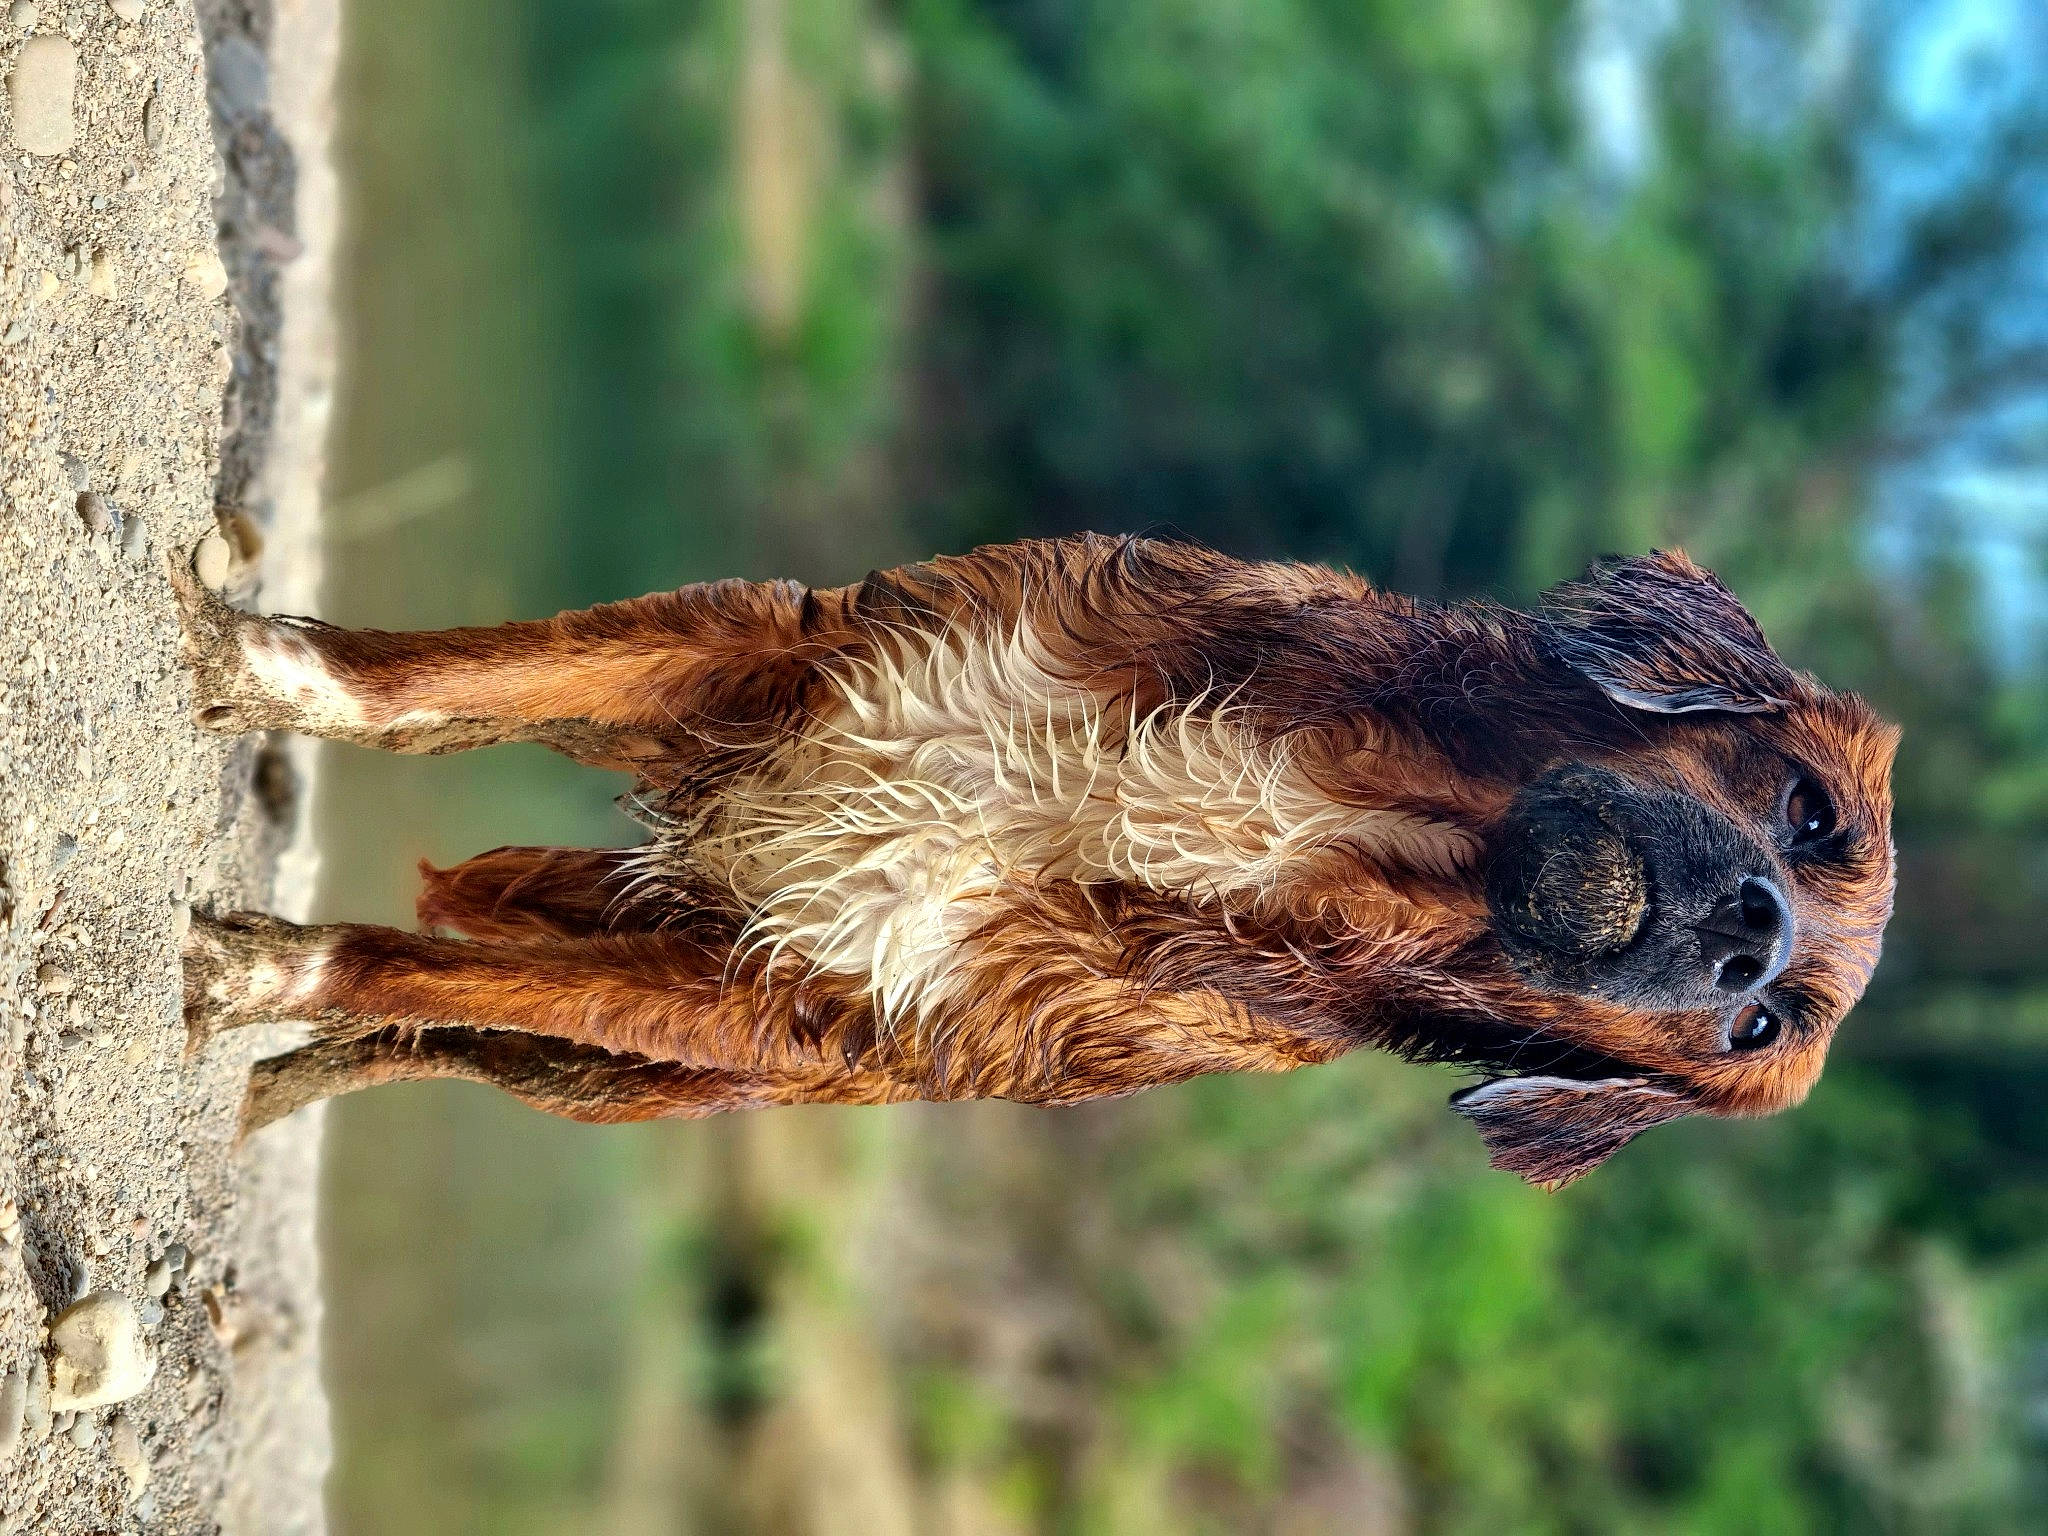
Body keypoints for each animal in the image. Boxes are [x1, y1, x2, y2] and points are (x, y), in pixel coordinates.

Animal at [174, 535, 1897, 1187]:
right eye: (1811, 812)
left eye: (1757, 1031)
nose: (1749, 936)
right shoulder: (782, 657)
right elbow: (428, 684)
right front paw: (258, 660)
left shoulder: (773, 1006)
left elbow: (399, 961)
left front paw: (257, 967)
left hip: (641, 1071)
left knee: (451, 1021)